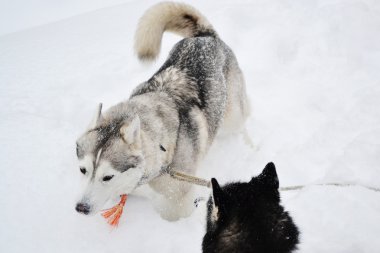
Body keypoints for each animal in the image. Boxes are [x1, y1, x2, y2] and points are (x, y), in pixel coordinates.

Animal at [75, 1, 251, 220]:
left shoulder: (179, 202)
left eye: (107, 177)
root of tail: (205, 36)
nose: (81, 207)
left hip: (232, 115)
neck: (161, 152)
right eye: (83, 170)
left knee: (242, 122)